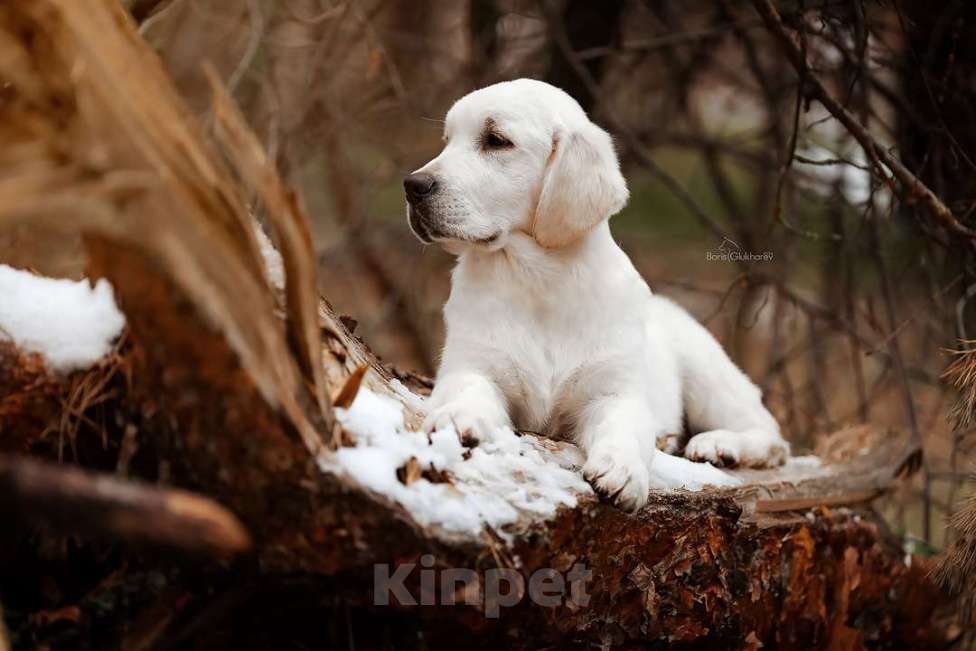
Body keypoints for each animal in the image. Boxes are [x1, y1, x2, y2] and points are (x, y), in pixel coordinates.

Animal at [402, 79, 784, 512]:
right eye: (447, 141)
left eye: (496, 140)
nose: (413, 186)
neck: (537, 279)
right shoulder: (471, 364)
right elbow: (469, 389)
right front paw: (456, 418)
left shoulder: (613, 391)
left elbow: (624, 427)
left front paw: (623, 471)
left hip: (707, 373)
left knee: (770, 435)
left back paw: (718, 444)